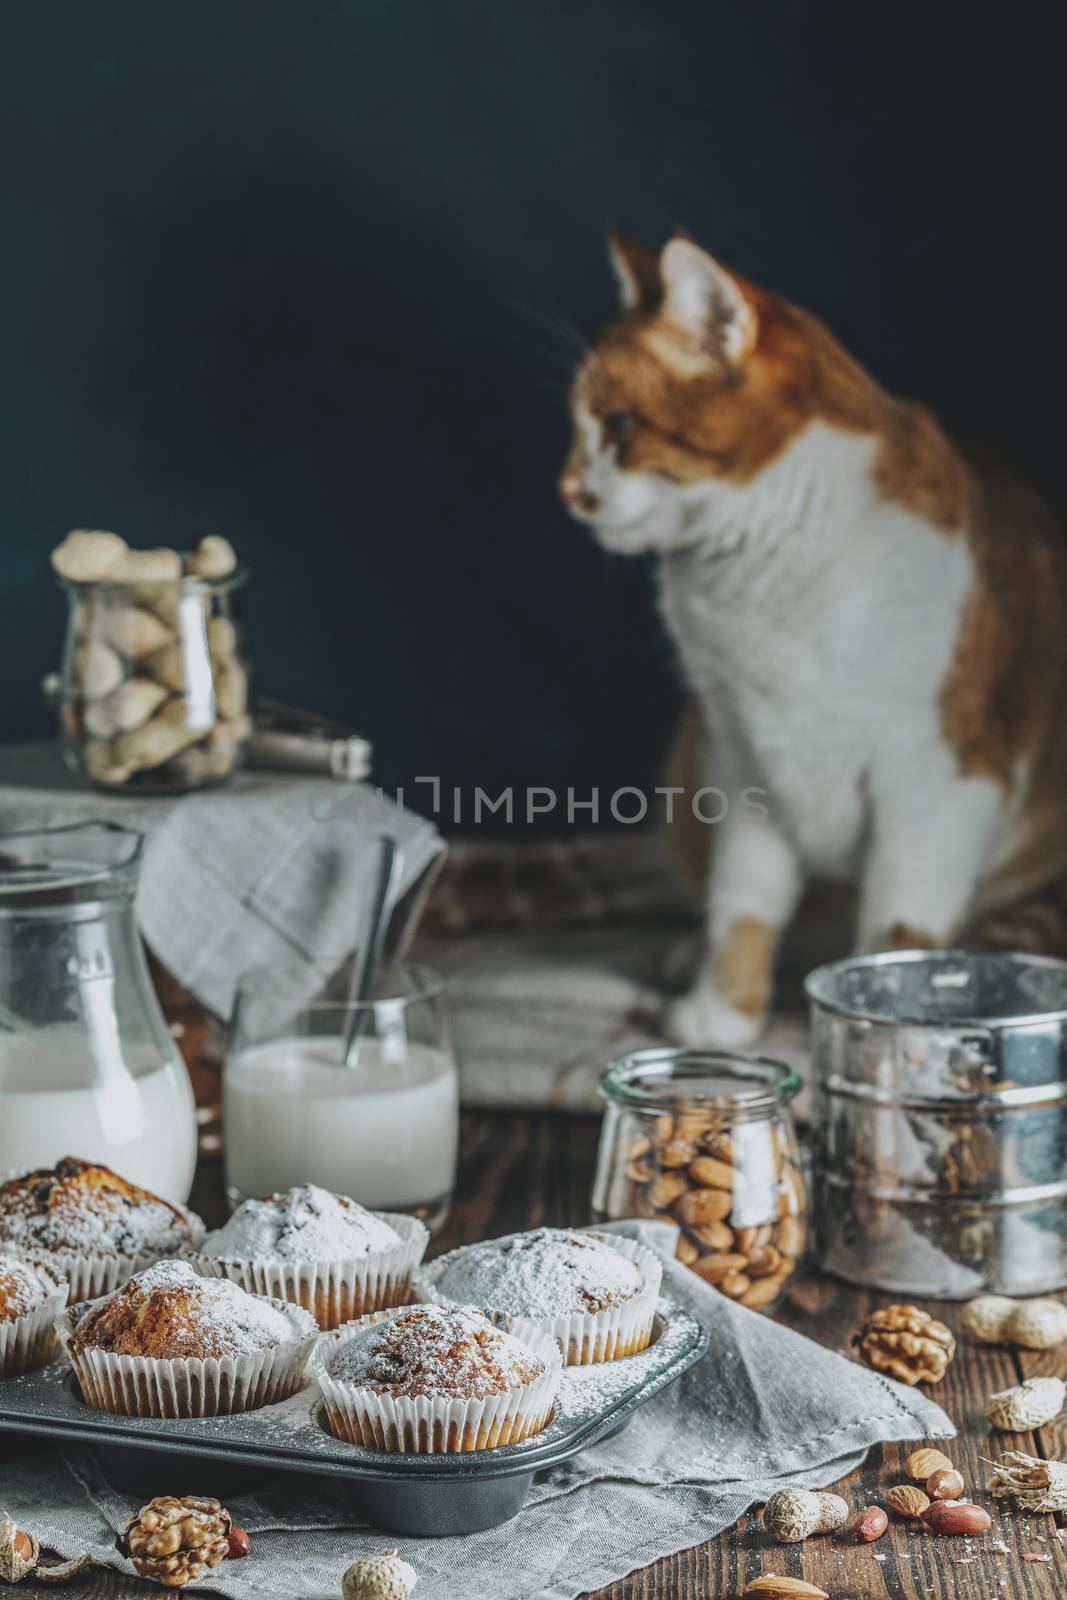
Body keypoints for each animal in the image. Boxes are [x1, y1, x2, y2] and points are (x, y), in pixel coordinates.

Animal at [559, 228, 1067, 1049]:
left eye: (622, 428)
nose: (568, 491)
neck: (765, 576)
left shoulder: (939, 782)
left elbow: (901, 927)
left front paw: (896, 1024)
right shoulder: (740, 756)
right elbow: (745, 901)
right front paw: (722, 1011)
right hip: (686, 770)